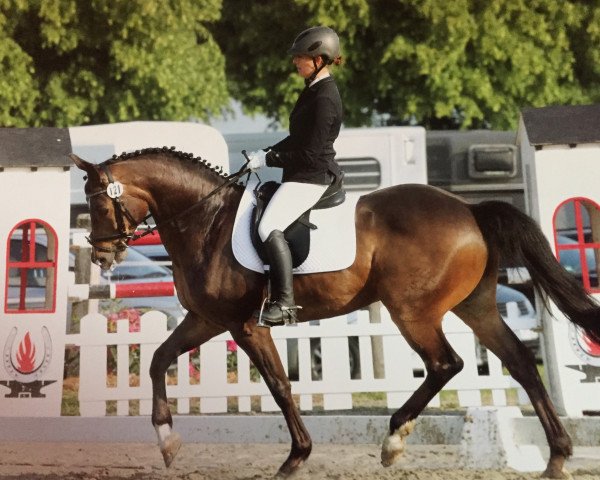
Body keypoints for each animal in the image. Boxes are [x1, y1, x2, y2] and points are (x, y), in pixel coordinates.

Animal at [71, 148, 600, 478]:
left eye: (98, 204)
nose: (102, 255)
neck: (207, 221)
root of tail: (469, 211)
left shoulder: (244, 325)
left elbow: (279, 386)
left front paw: (296, 458)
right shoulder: (207, 320)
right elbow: (158, 359)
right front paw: (167, 441)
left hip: (413, 311)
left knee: (445, 364)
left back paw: (394, 441)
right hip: (475, 306)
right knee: (519, 362)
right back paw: (557, 458)